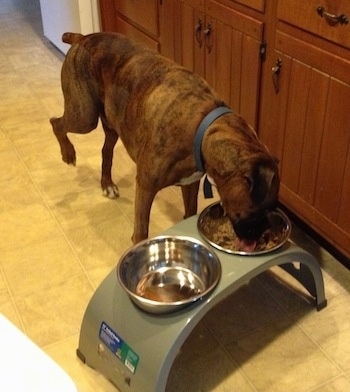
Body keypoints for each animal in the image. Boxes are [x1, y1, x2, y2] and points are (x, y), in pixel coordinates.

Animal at [50, 31, 278, 248]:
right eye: (263, 207)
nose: (263, 235)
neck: (202, 127)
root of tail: (82, 38)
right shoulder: (145, 187)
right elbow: (141, 231)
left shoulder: (190, 182)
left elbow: (189, 211)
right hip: (84, 117)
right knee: (55, 123)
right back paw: (68, 153)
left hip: (113, 122)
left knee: (106, 151)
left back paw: (107, 184)